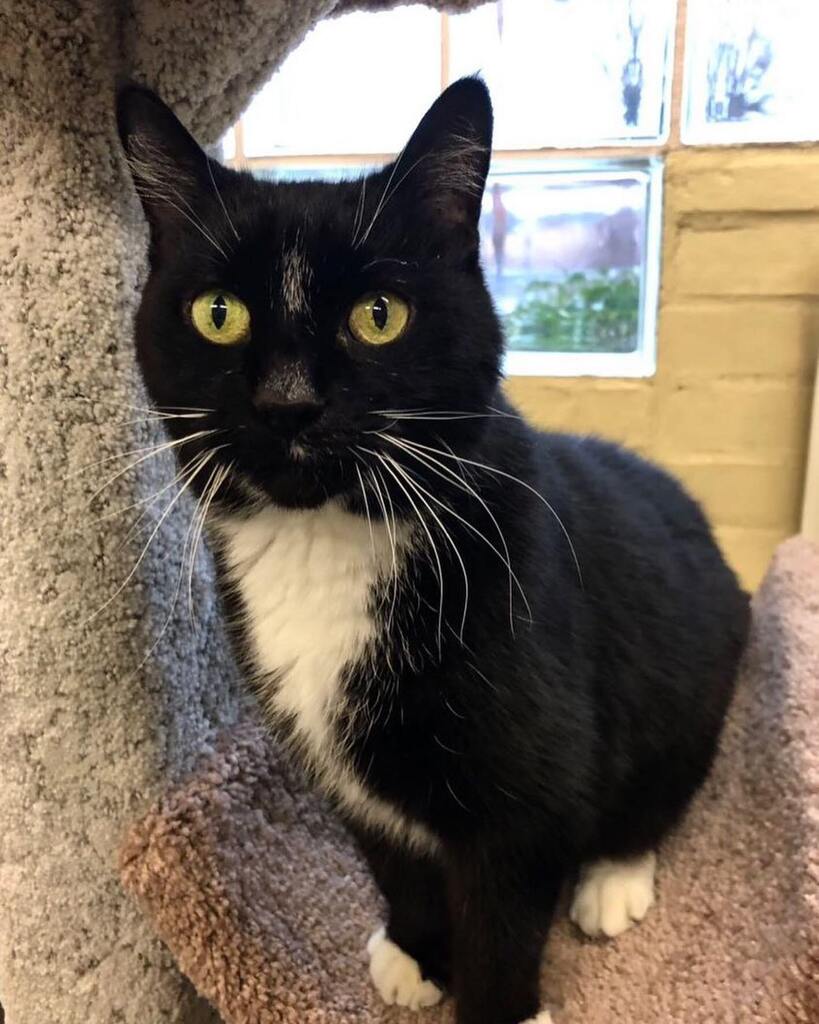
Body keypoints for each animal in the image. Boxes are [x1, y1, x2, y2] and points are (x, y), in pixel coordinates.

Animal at [118, 79, 753, 1024]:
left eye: (379, 316)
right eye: (217, 314)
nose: (287, 402)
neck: (326, 541)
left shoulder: (526, 791)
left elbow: (502, 916)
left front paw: (495, 999)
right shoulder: (329, 752)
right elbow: (388, 852)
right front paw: (418, 953)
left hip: (697, 674)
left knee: (663, 782)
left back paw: (613, 878)